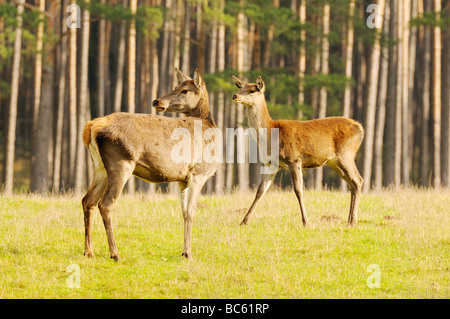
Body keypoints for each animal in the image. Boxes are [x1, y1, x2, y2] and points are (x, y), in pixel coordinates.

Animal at [81, 69, 217, 262]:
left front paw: (183, 251)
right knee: (105, 203)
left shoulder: (182, 178)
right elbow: (191, 212)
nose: (156, 101)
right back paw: (115, 253)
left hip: (99, 167)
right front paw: (189, 253)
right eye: (176, 87)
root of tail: (91, 127)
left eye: (184, 90)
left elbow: (183, 212)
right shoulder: (199, 172)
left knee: (88, 200)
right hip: (121, 161)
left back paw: (89, 251)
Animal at [230, 75, 364, 228]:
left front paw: (306, 222)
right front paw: (244, 221)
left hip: (346, 154)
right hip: (334, 161)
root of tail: (361, 129)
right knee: (352, 183)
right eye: (241, 88)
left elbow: (298, 190)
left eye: (252, 90)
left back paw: (352, 221)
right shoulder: (271, 164)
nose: (235, 95)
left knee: (358, 180)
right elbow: (260, 190)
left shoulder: (294, 159)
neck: (271, 134)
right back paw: (349, 220)